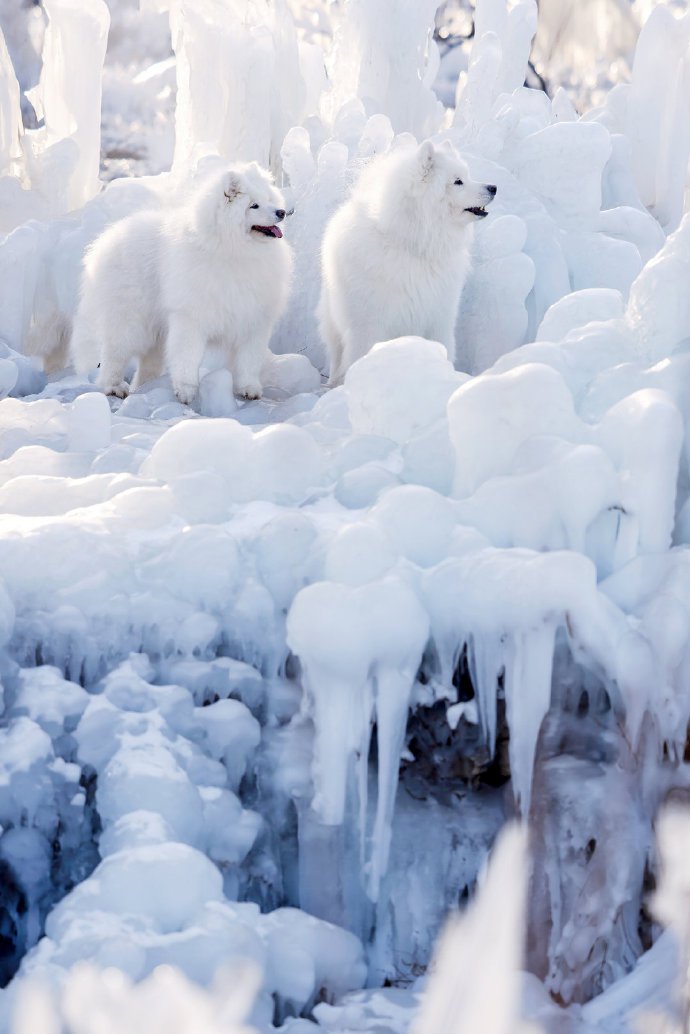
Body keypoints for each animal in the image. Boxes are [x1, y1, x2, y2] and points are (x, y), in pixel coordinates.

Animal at [72, 163, 293, 401]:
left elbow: (249, 361)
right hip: (129, 322)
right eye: (254, 205)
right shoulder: (191, 318)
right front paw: (186, 391)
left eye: (270, 199)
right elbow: (188, 357)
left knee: (148, 362)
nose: (281, 212)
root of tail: (106, 239)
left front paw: (249, 389)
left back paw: (145, 387)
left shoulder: (253, 321)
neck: (234, 250)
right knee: (113, 355)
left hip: (156, 330)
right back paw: (114, 387)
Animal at [318, 140, 496, 384]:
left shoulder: (437, 317)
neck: (413, 245)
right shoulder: (368, 325)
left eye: (467, 176)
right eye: (458, 181)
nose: (493, 187)